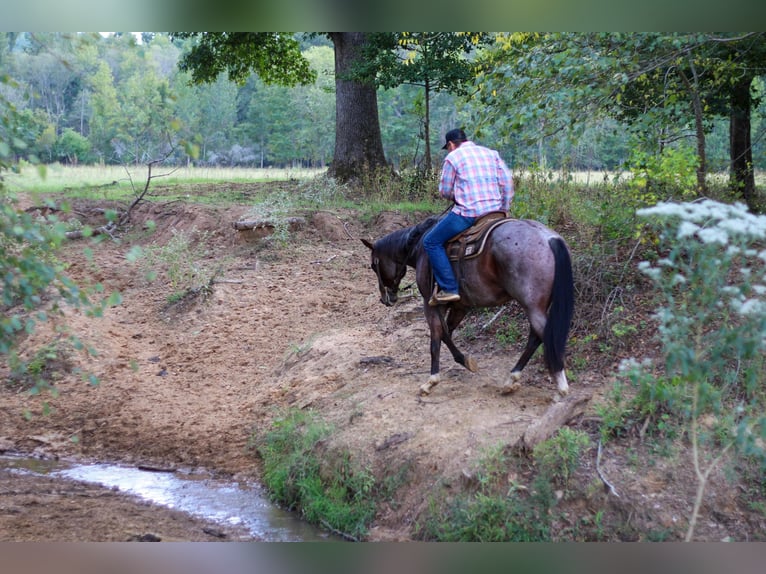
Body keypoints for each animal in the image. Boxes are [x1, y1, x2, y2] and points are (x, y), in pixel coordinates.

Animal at [364, 214, 572, 398]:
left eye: (374, 266)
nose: (386, 299)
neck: (419, 246)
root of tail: (549, 238)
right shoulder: (460, 306)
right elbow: (445, 333)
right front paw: (464, 361)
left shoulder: (430, 304)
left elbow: (436, 338)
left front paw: (431, 381)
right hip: (539, 307)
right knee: (535, 338)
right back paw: (511, 380)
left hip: (532, 307)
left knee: (546, 336)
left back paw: (561, 387)